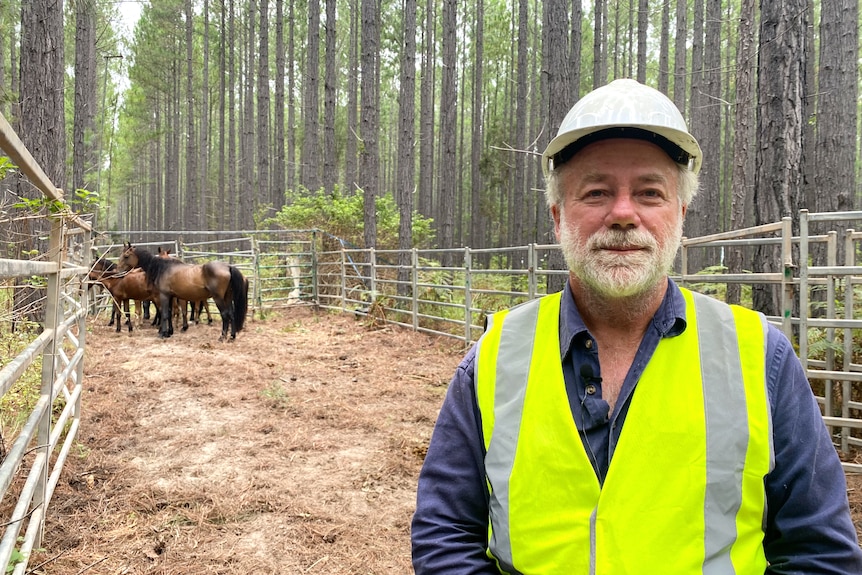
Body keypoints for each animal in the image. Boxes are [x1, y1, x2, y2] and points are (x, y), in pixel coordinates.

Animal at [116, 243, 248, 342]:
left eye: (126, 256)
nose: (117, 272)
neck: (162, 268)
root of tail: (228, 267)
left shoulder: (164, 296)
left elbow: (164, 314)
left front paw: (162, 334)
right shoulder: (171, 297)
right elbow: (170, 313)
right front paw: (169, 332)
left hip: (218, 298)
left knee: (225, 315)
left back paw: (222, 337)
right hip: (227, 298)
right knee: (231, 314)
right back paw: (232, 337)